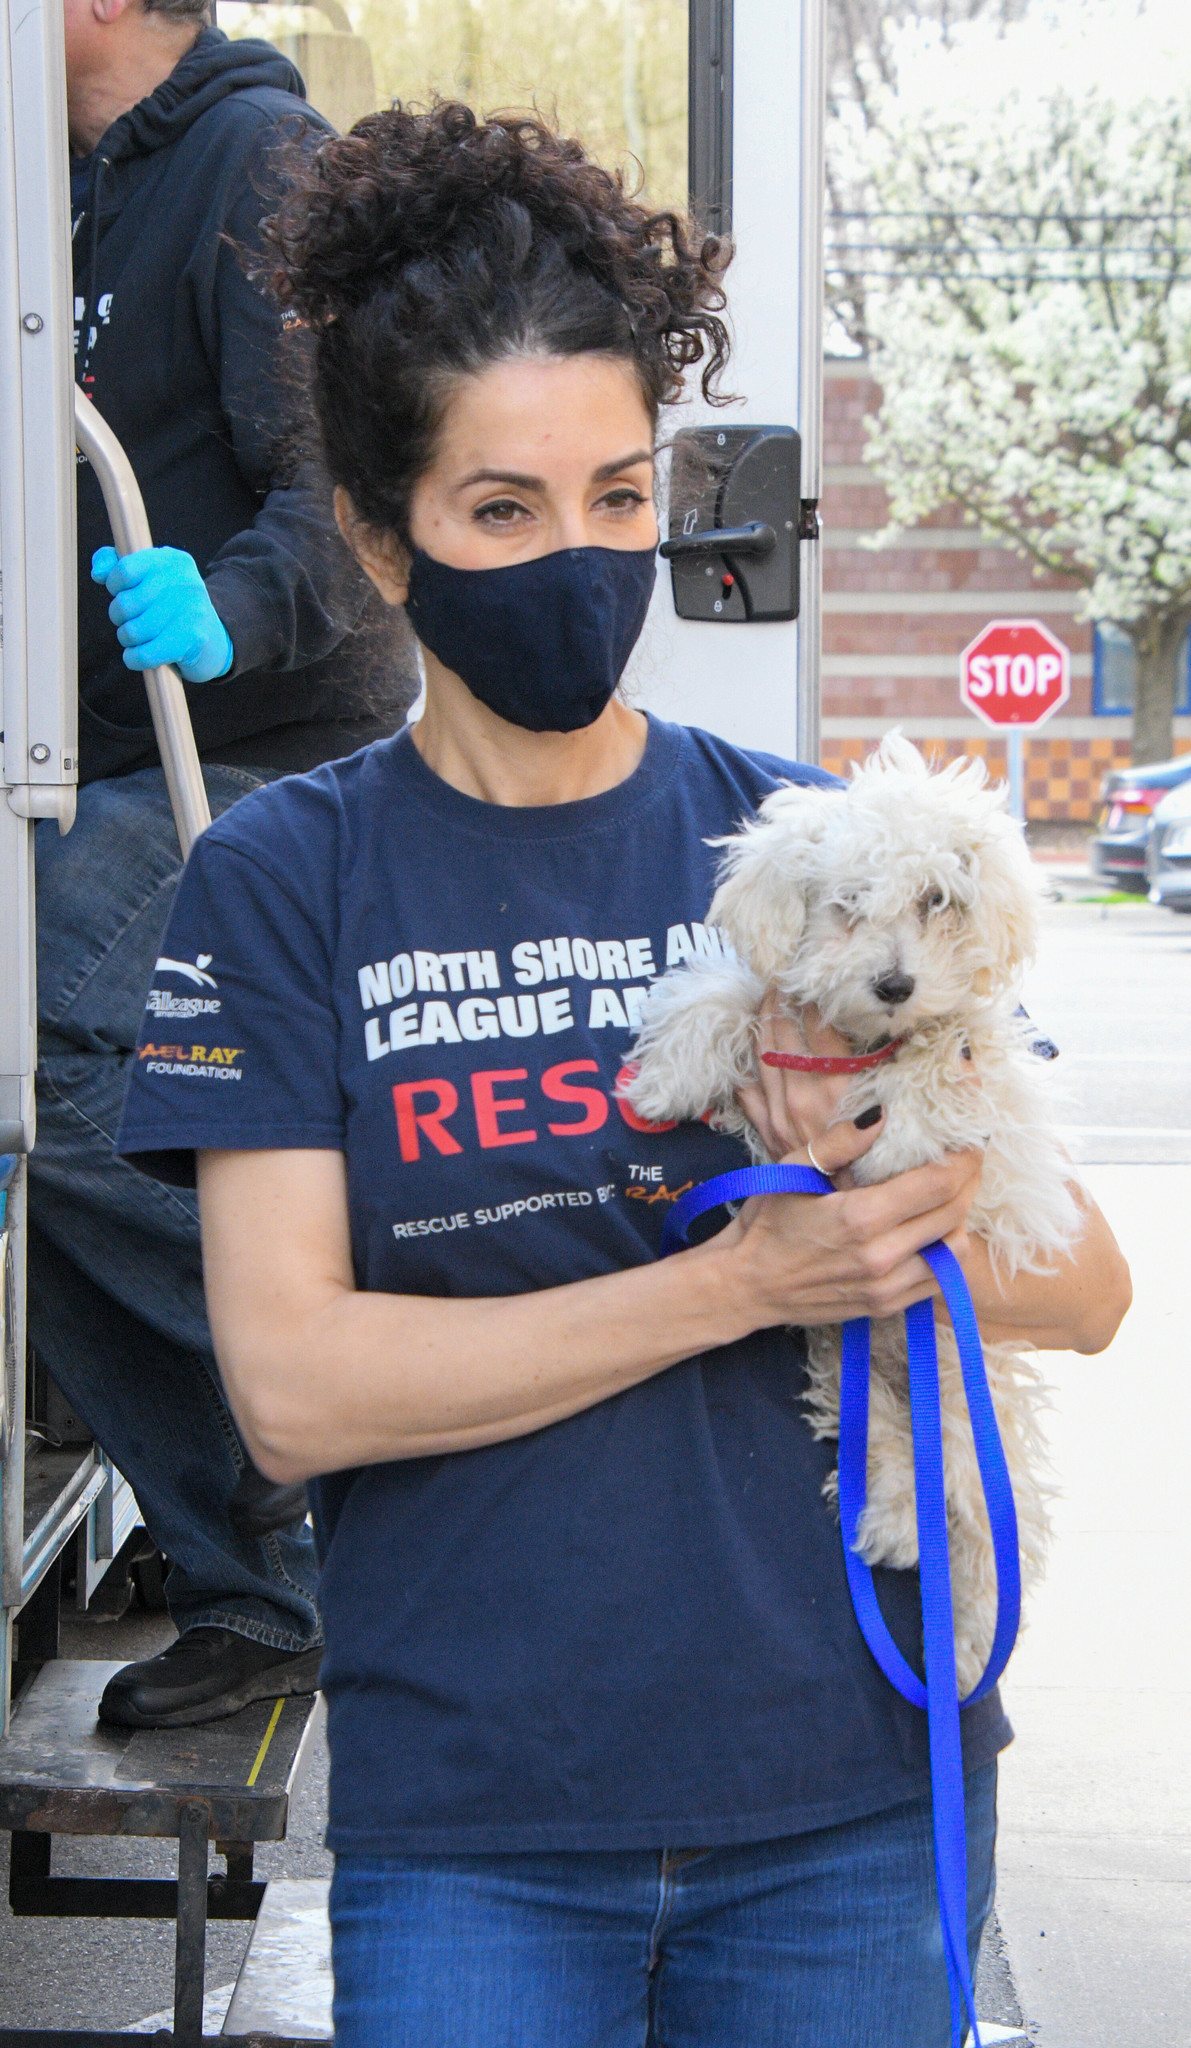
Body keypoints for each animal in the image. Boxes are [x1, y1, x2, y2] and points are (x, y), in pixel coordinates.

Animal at [630, 737, 1088, 1695]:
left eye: (937, 901)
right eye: (847, 904)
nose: (893, 982)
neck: (863, 1046)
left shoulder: (983, 1093)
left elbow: (938, 1066)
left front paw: (896, 1115)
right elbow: (728, 994)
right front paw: (667, 1076)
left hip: (966, 1388)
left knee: (977, 1521)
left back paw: (962, 1640)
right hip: (853, 1368)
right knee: (891, 1451)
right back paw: (891, 1521)